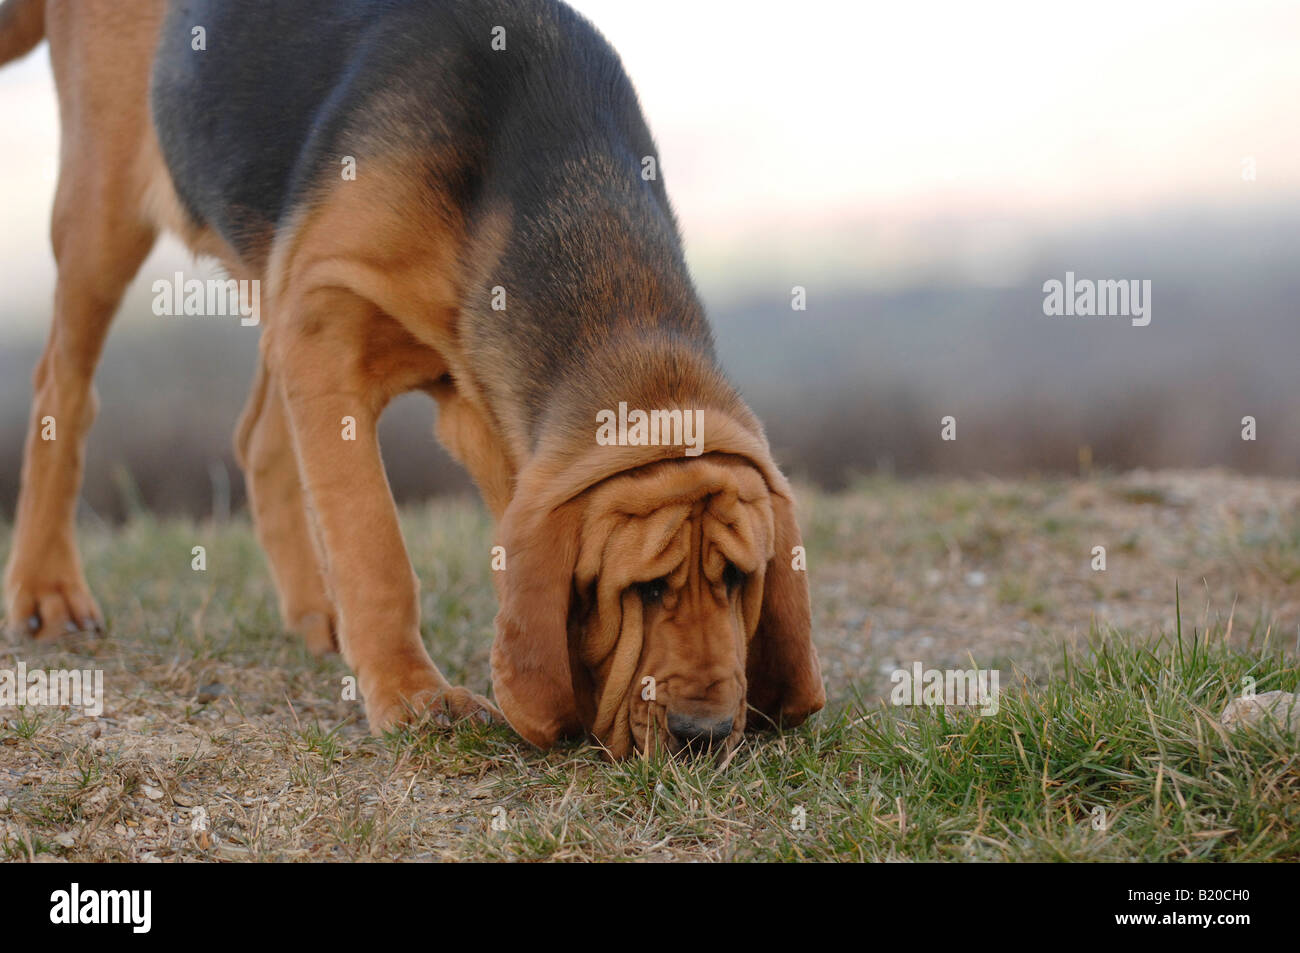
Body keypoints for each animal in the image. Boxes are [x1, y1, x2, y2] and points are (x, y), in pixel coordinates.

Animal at [0, 1, 821, 759]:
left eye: (739, 579)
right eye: (645, 589)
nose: (703, 735)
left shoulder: (476, 408)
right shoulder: (325, 319)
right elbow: (375, 545)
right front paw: (413, 696)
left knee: (258, 436)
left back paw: (316, 614)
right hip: (103, 213)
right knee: (62, 388)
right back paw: (48, 593)